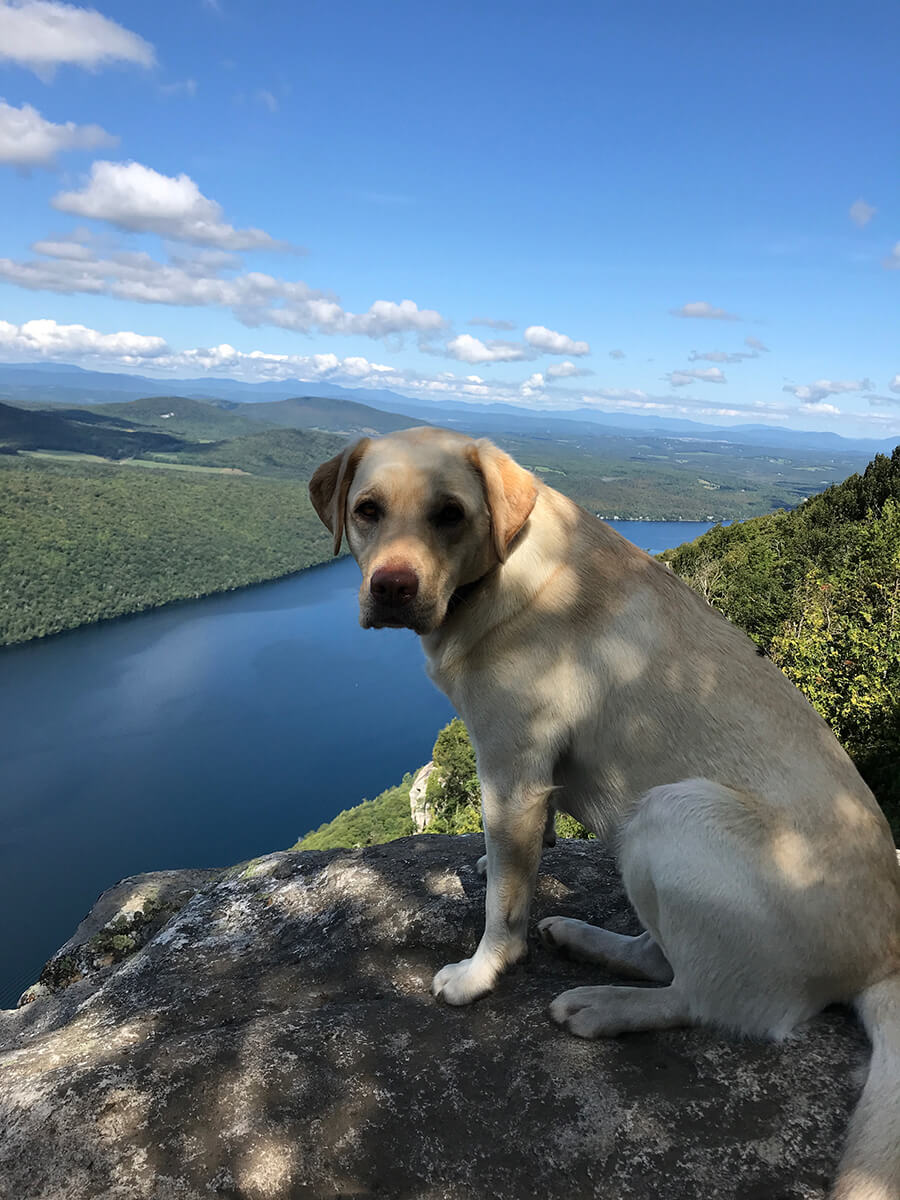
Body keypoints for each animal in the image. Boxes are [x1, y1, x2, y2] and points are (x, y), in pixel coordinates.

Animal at [312, 429, 900, 1200]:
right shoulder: (527, 782)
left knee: (703, 998)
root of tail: (884, 956)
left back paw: (606, 1005)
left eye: (450, 515)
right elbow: (521, 855)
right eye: (368, 510)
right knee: (658, 953)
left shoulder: (513, 766)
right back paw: (587, 940)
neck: (504, 566)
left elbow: (506, 908)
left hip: (673, 815)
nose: (392, 587)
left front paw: (480, 973)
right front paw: (503, 859)